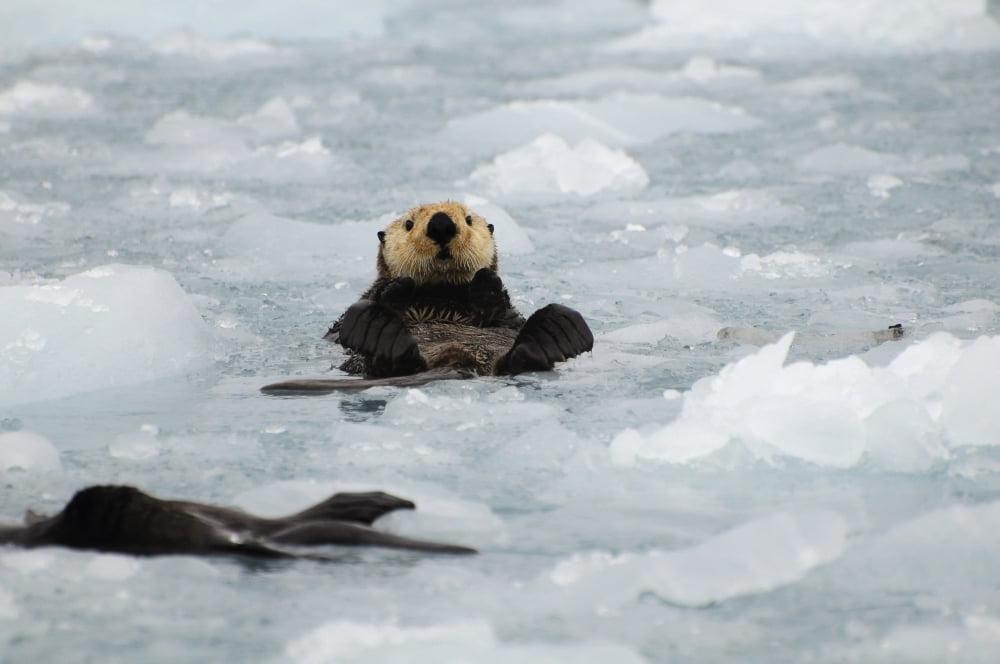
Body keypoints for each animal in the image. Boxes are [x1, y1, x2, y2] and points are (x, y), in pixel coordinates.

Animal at [262, 202, 593, 394]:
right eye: (409, 223)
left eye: (468, 219)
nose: (442, 223)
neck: (439, 297)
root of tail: (457, 358)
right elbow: (343, 325)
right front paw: (398, 288)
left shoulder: (508, 315)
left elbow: (507, 316)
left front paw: (486, 283)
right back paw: (378, 331)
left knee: (522, 356)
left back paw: (556, 331)